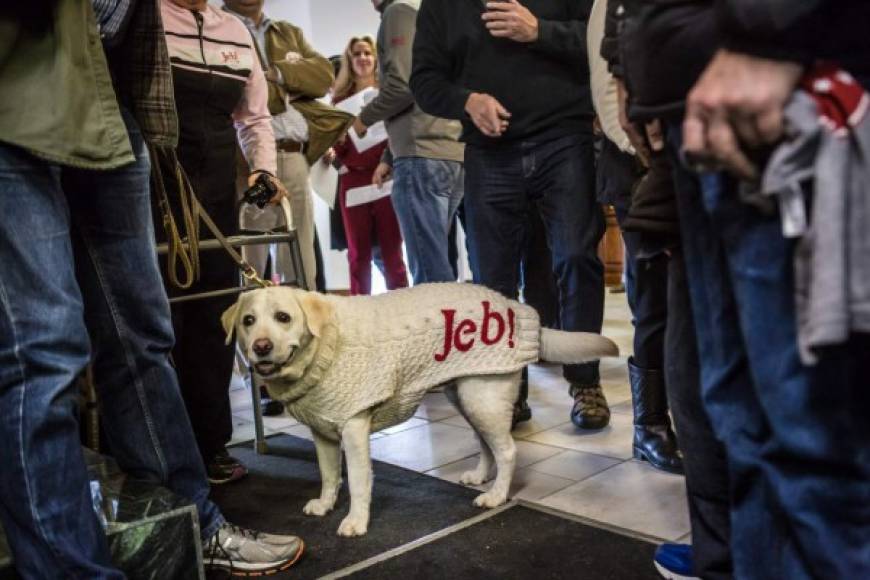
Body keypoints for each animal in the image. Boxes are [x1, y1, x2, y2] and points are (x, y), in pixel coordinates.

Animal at [225, 284, 620, 536]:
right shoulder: (323, 434)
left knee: (507, 451)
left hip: (482, 399)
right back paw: (481, 477)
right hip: (467, 398)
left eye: (283, 317)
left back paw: (495, 495)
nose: (261, 347)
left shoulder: (353, 429)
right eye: (248, 321)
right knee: (487, 445)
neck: (326, 345)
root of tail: (517, 308)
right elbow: (328, 475)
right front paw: (325, 504)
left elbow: (358, 482)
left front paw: (356, 521)